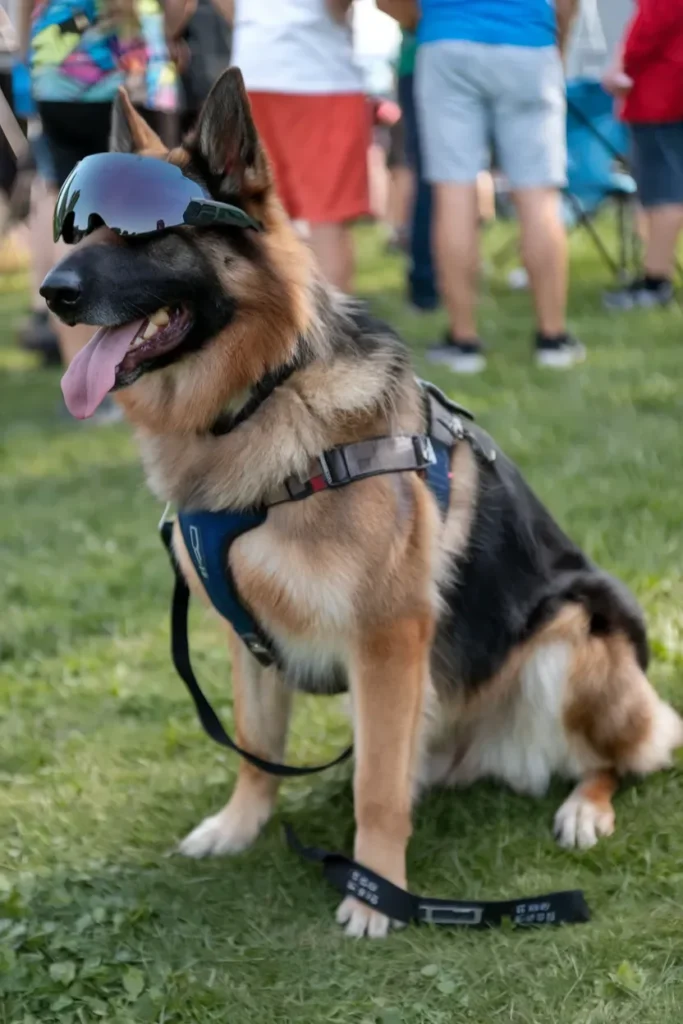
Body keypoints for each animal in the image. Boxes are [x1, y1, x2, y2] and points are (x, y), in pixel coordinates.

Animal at [45, 72, 679, 937]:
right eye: (79, 227)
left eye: (147, 232)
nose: (52, 293)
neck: (260, 396)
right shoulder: (250, 637)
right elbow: (254, 745)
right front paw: (240, 826)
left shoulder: (387, 635)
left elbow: (373, 787)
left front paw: (374, 890)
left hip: (574, 630)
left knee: (622, 756)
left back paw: (585, 806)